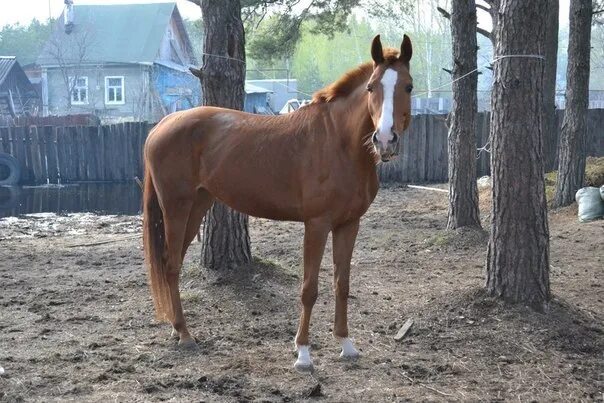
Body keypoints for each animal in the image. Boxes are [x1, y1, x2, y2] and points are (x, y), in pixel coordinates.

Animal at [144, 34, 412, 372]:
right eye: (371, 87)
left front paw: (346, 344)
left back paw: (177, 329)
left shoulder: (349, 224)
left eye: (408, 86)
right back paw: (184, 333)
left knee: (172, 263)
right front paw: (303, 353)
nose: (386, 139)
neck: (338, 143)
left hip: (198, 205)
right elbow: (309, 289)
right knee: (171, 265)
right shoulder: (317, 224)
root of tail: (162, 123)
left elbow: (342, 284)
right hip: (176, 207)